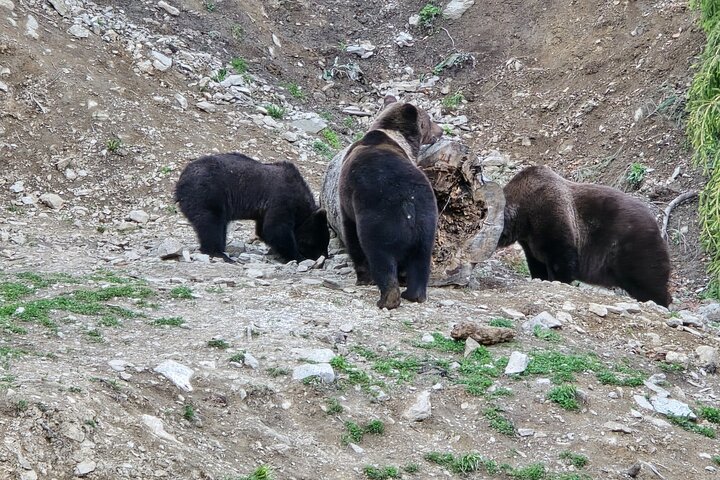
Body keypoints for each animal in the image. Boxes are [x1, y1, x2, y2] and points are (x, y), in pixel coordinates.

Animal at [175, 152, 329, 263]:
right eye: (316, 244)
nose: (324, 257)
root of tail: (181, 180)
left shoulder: (265, 210)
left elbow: (264, 230)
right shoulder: (281, 199)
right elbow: (276, 229)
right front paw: (298, 256)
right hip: (207, 193)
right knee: (211, 223)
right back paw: (220, 254)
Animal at [338, 96, 444, 309]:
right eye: (429, 120)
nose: (441, 130)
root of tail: (408, 203)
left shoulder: (347, 200)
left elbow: (351, 234)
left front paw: (362, 278)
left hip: (378, 217)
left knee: (380, 256)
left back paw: (387, 298)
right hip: (427, 220)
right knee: (421, 259)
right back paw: (413, 294)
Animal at [497, 165, 672, 307]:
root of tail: (656, 223)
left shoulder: (553, 217)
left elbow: (561, 261)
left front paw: (558, 280)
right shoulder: (530, 242)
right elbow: (536, 263)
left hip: (634, 247)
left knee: (649, 280)